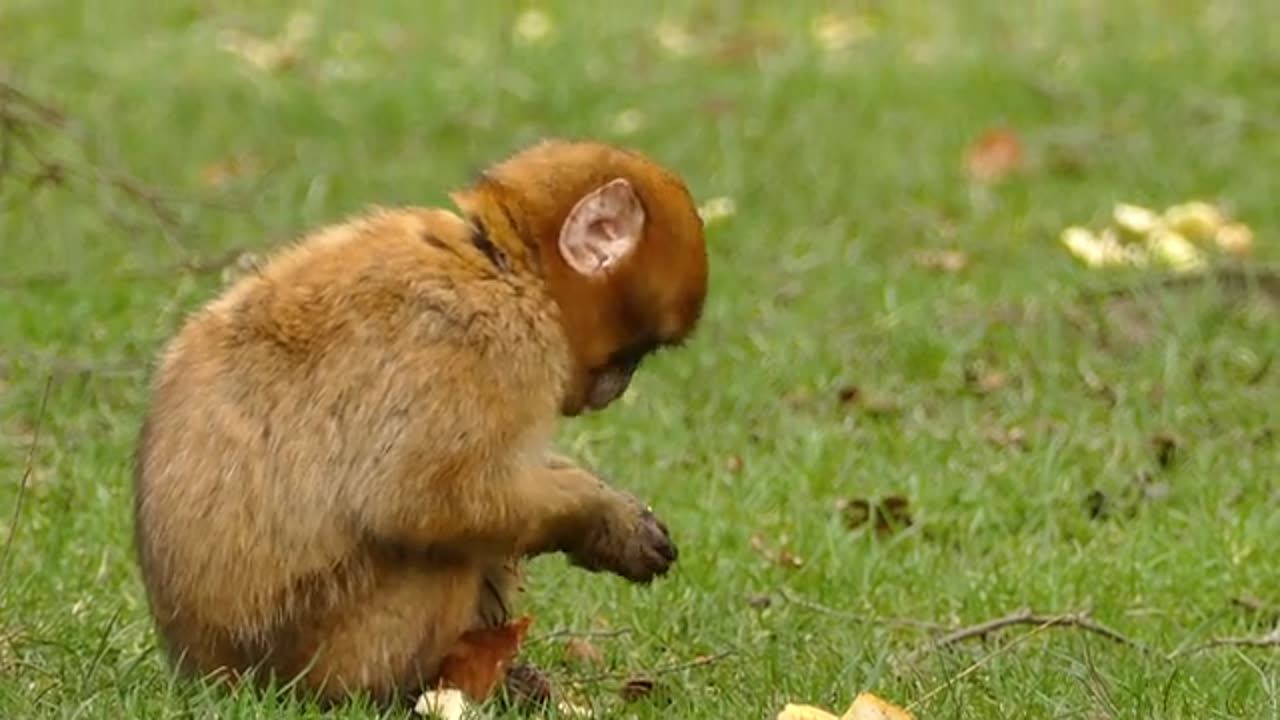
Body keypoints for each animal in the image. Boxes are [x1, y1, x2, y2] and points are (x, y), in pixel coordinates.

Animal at [132, 137, 711, 702]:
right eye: (635, 352)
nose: (619, 388)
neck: (502, 266)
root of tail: (206, 668)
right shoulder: (485, 343)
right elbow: (419, 501)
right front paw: (598, 519)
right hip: (331, 648)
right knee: (447, 553)